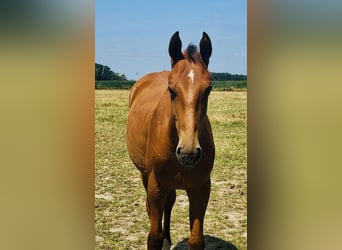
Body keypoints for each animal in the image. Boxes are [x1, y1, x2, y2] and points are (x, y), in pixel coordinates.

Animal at [127, 31, 215, 250]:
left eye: (208, 89)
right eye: (171, 89)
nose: (188, 153)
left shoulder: (201, 188)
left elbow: (196, 239)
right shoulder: (156, 186)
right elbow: (154, 236)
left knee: (170, 202)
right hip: (146, 176)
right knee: (152, 208)